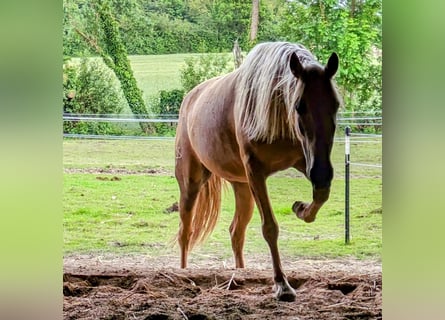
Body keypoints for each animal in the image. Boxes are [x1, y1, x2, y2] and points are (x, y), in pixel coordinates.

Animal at [173, 41, 340, 302]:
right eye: (299, 106)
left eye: (336, 105)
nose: (322, 172)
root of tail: (190, 99)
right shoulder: (256, 171)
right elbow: (270, 227)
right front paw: (282, 285)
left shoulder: (304, 161)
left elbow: (320, 195)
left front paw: (301, 208)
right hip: (191, 183)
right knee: (186, 231)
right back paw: (184, 272)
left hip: (242, 187)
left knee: (236, 233)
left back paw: (240, 273)